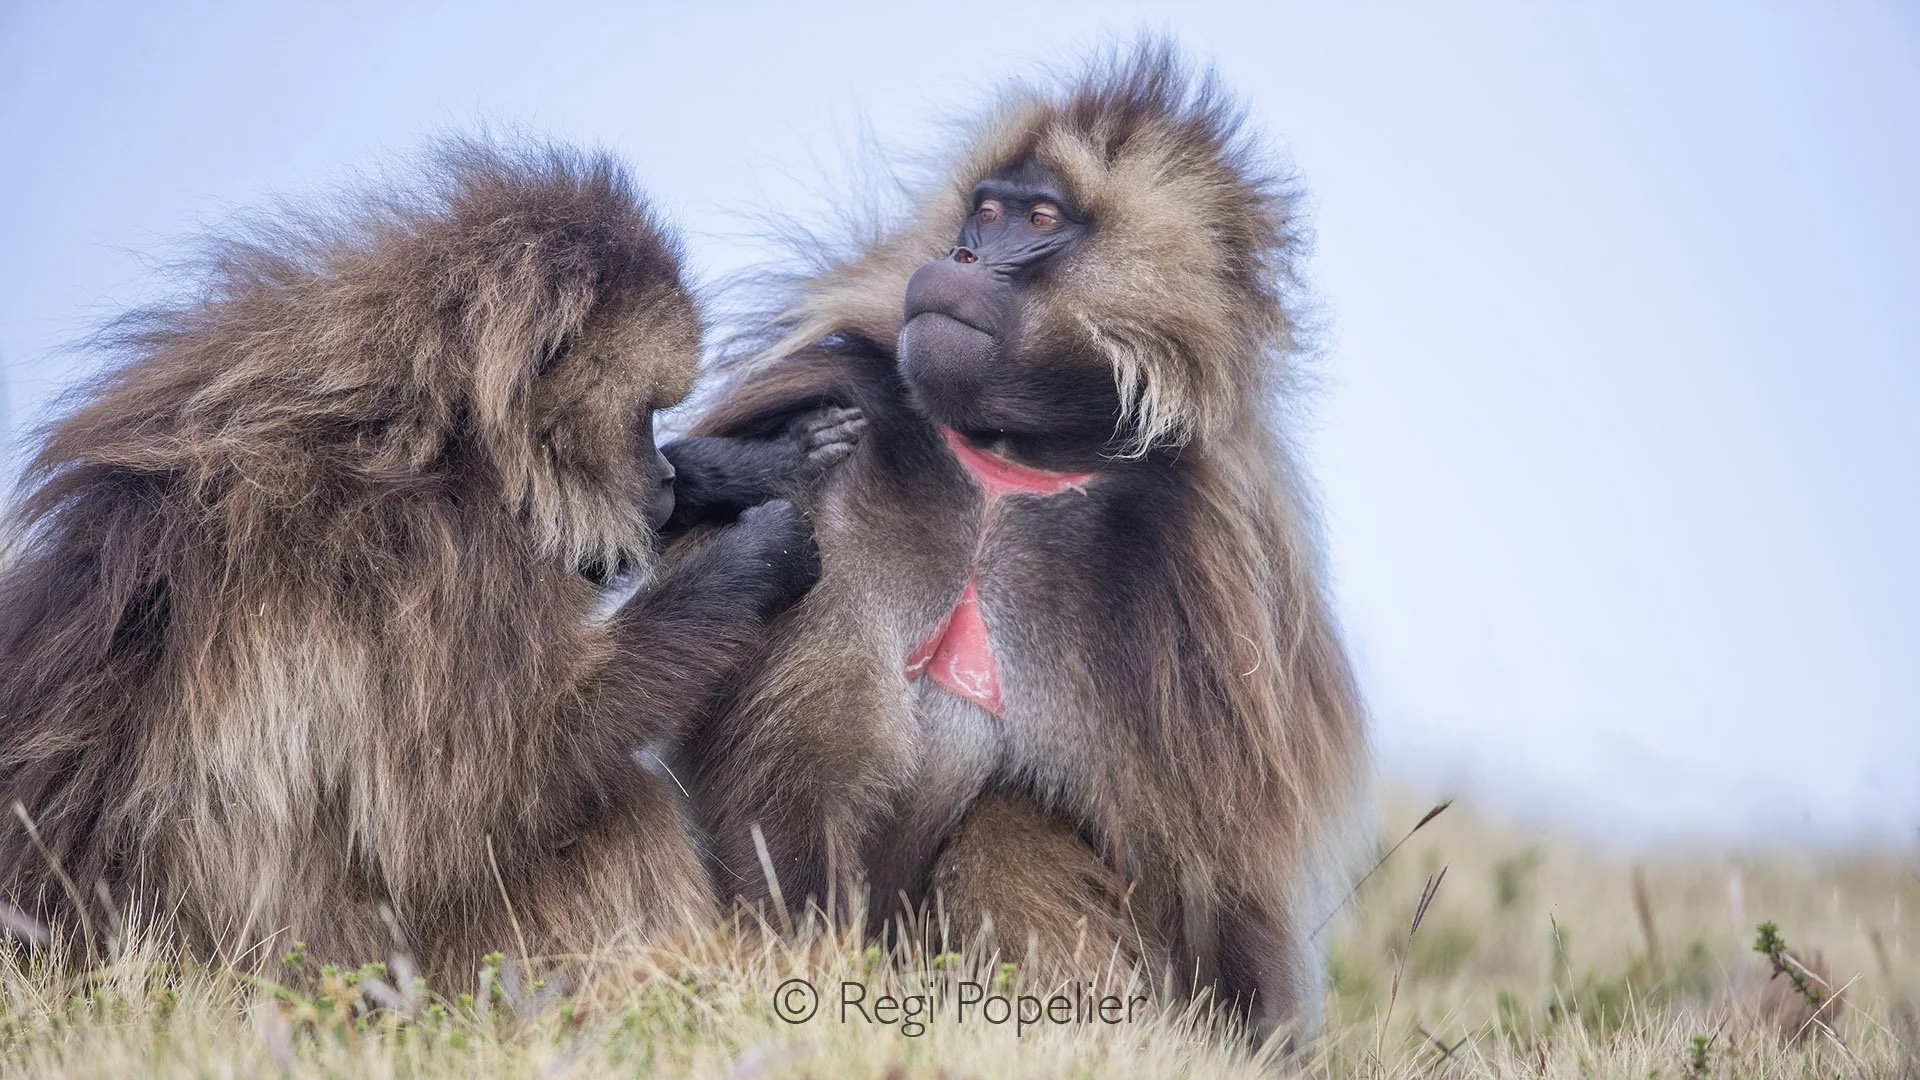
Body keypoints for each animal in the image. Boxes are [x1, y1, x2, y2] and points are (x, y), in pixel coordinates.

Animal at [0, 141, 839, 981]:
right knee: (594, 806)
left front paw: (750, 467)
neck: (443, 431)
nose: (662, 480)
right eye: (645, 414)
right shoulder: (434, 553)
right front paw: (757, 554)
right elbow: (467, 799)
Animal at [673, 45, 1369, 1041]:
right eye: (986, 211)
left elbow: (1224, 911)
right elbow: (794, 790)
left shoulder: (1205, 593)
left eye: (1041, 221)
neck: (1007, 471)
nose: (959, 256)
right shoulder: (825, 476)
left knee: (1010, 821)